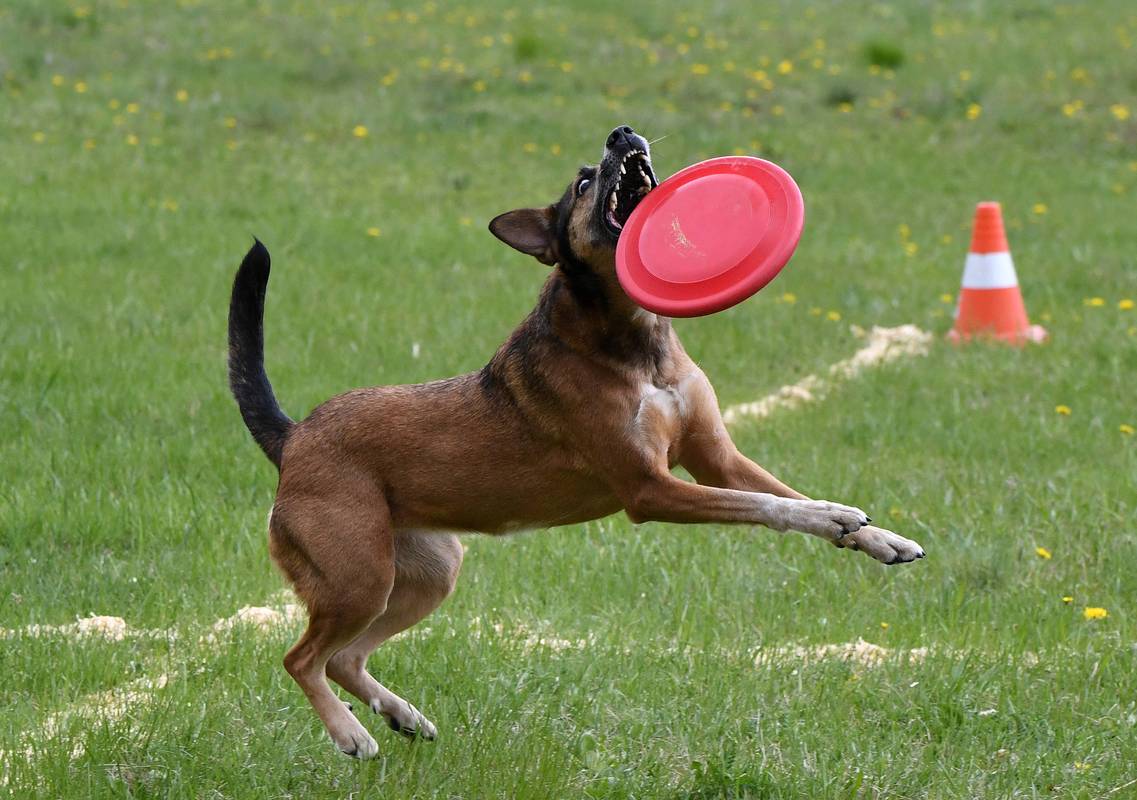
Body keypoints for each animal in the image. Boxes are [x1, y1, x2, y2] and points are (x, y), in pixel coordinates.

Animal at [228, 123, 923, 754]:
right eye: (584, 184)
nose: (623, 133)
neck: (633, 340)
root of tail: (292, 439)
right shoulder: (649, 490)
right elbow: (768, 505)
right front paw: (836, 518)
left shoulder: (717, 459)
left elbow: (785, 494)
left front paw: (875, 535)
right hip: (358, 574)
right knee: (302, 658)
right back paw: (350, 733)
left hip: (426, 570)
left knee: (344, 658)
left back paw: (403, 716)